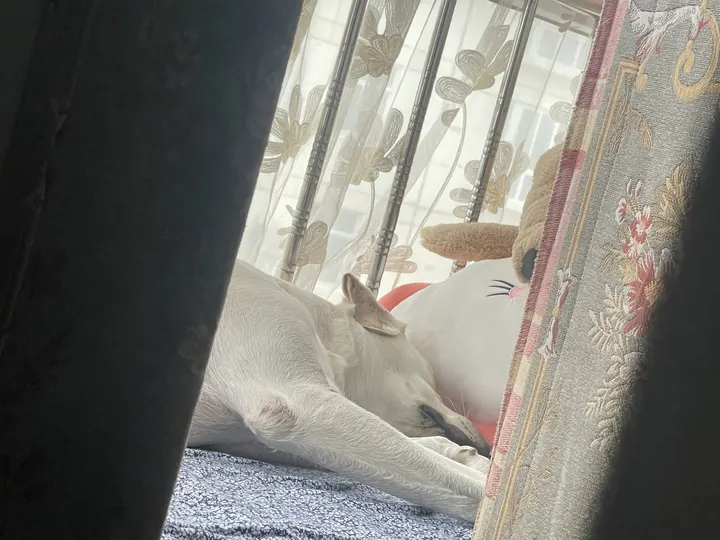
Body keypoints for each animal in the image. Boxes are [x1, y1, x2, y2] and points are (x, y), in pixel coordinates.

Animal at [187, 261, 491, 522]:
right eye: (433, 378)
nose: (488, 447)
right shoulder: (302, 404)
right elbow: (462, 481)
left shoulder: (276, 442)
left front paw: (467, 457)